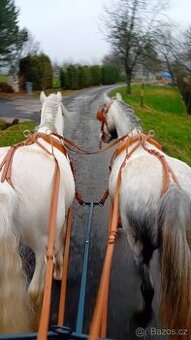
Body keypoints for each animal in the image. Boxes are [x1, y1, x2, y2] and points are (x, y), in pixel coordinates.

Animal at [0, 91, 75, 334]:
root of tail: (6, 184)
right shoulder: (61, 220)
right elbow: (61, 243)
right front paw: (59, 269)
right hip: (41, 238)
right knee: (34, 286)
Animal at [97, 92, 190, 334]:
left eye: (103, 114)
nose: (102, 136)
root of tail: (174, 190)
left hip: (137, 237)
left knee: (148, 289)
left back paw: (142, 315)